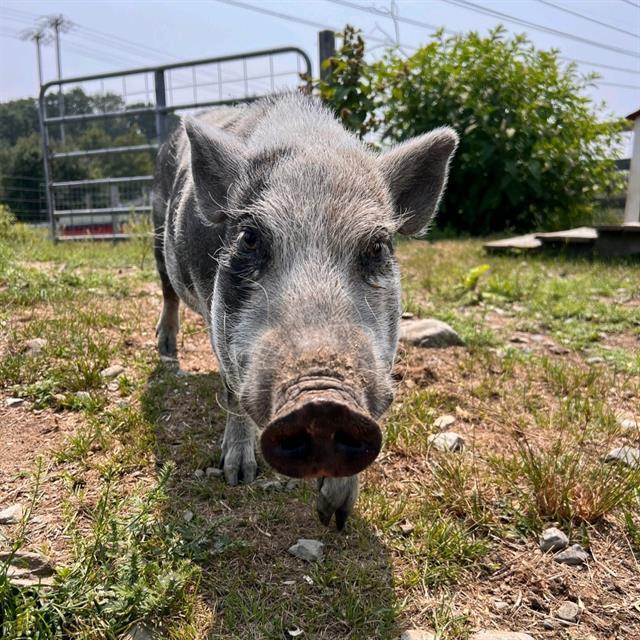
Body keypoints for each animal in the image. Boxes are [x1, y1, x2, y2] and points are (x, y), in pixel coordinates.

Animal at [151, 92, 457, 529]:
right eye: (249, 238)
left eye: (378, 247)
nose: (323, 402)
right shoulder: (217, 323)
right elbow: (232, 392)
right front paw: (238, 475)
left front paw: (335, 517)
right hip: (158, 236)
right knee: (167, 294)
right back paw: (167, 354)